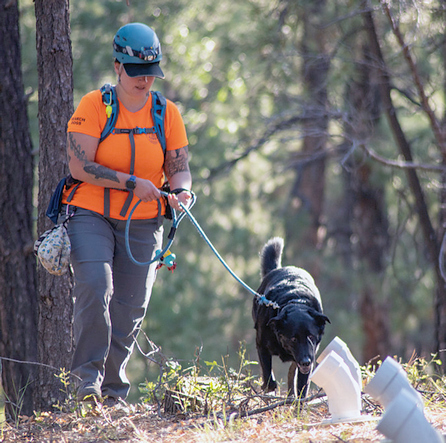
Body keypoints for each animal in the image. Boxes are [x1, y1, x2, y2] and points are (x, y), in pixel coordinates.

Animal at [253, 238, 330, 400]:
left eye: (311, 337)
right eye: (293, 339)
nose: (306, 362)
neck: (295, 302)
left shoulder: (309, 354)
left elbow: (302, 384)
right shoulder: (261, 346)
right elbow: (268, 375)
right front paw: (267, 387)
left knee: (292, 371)